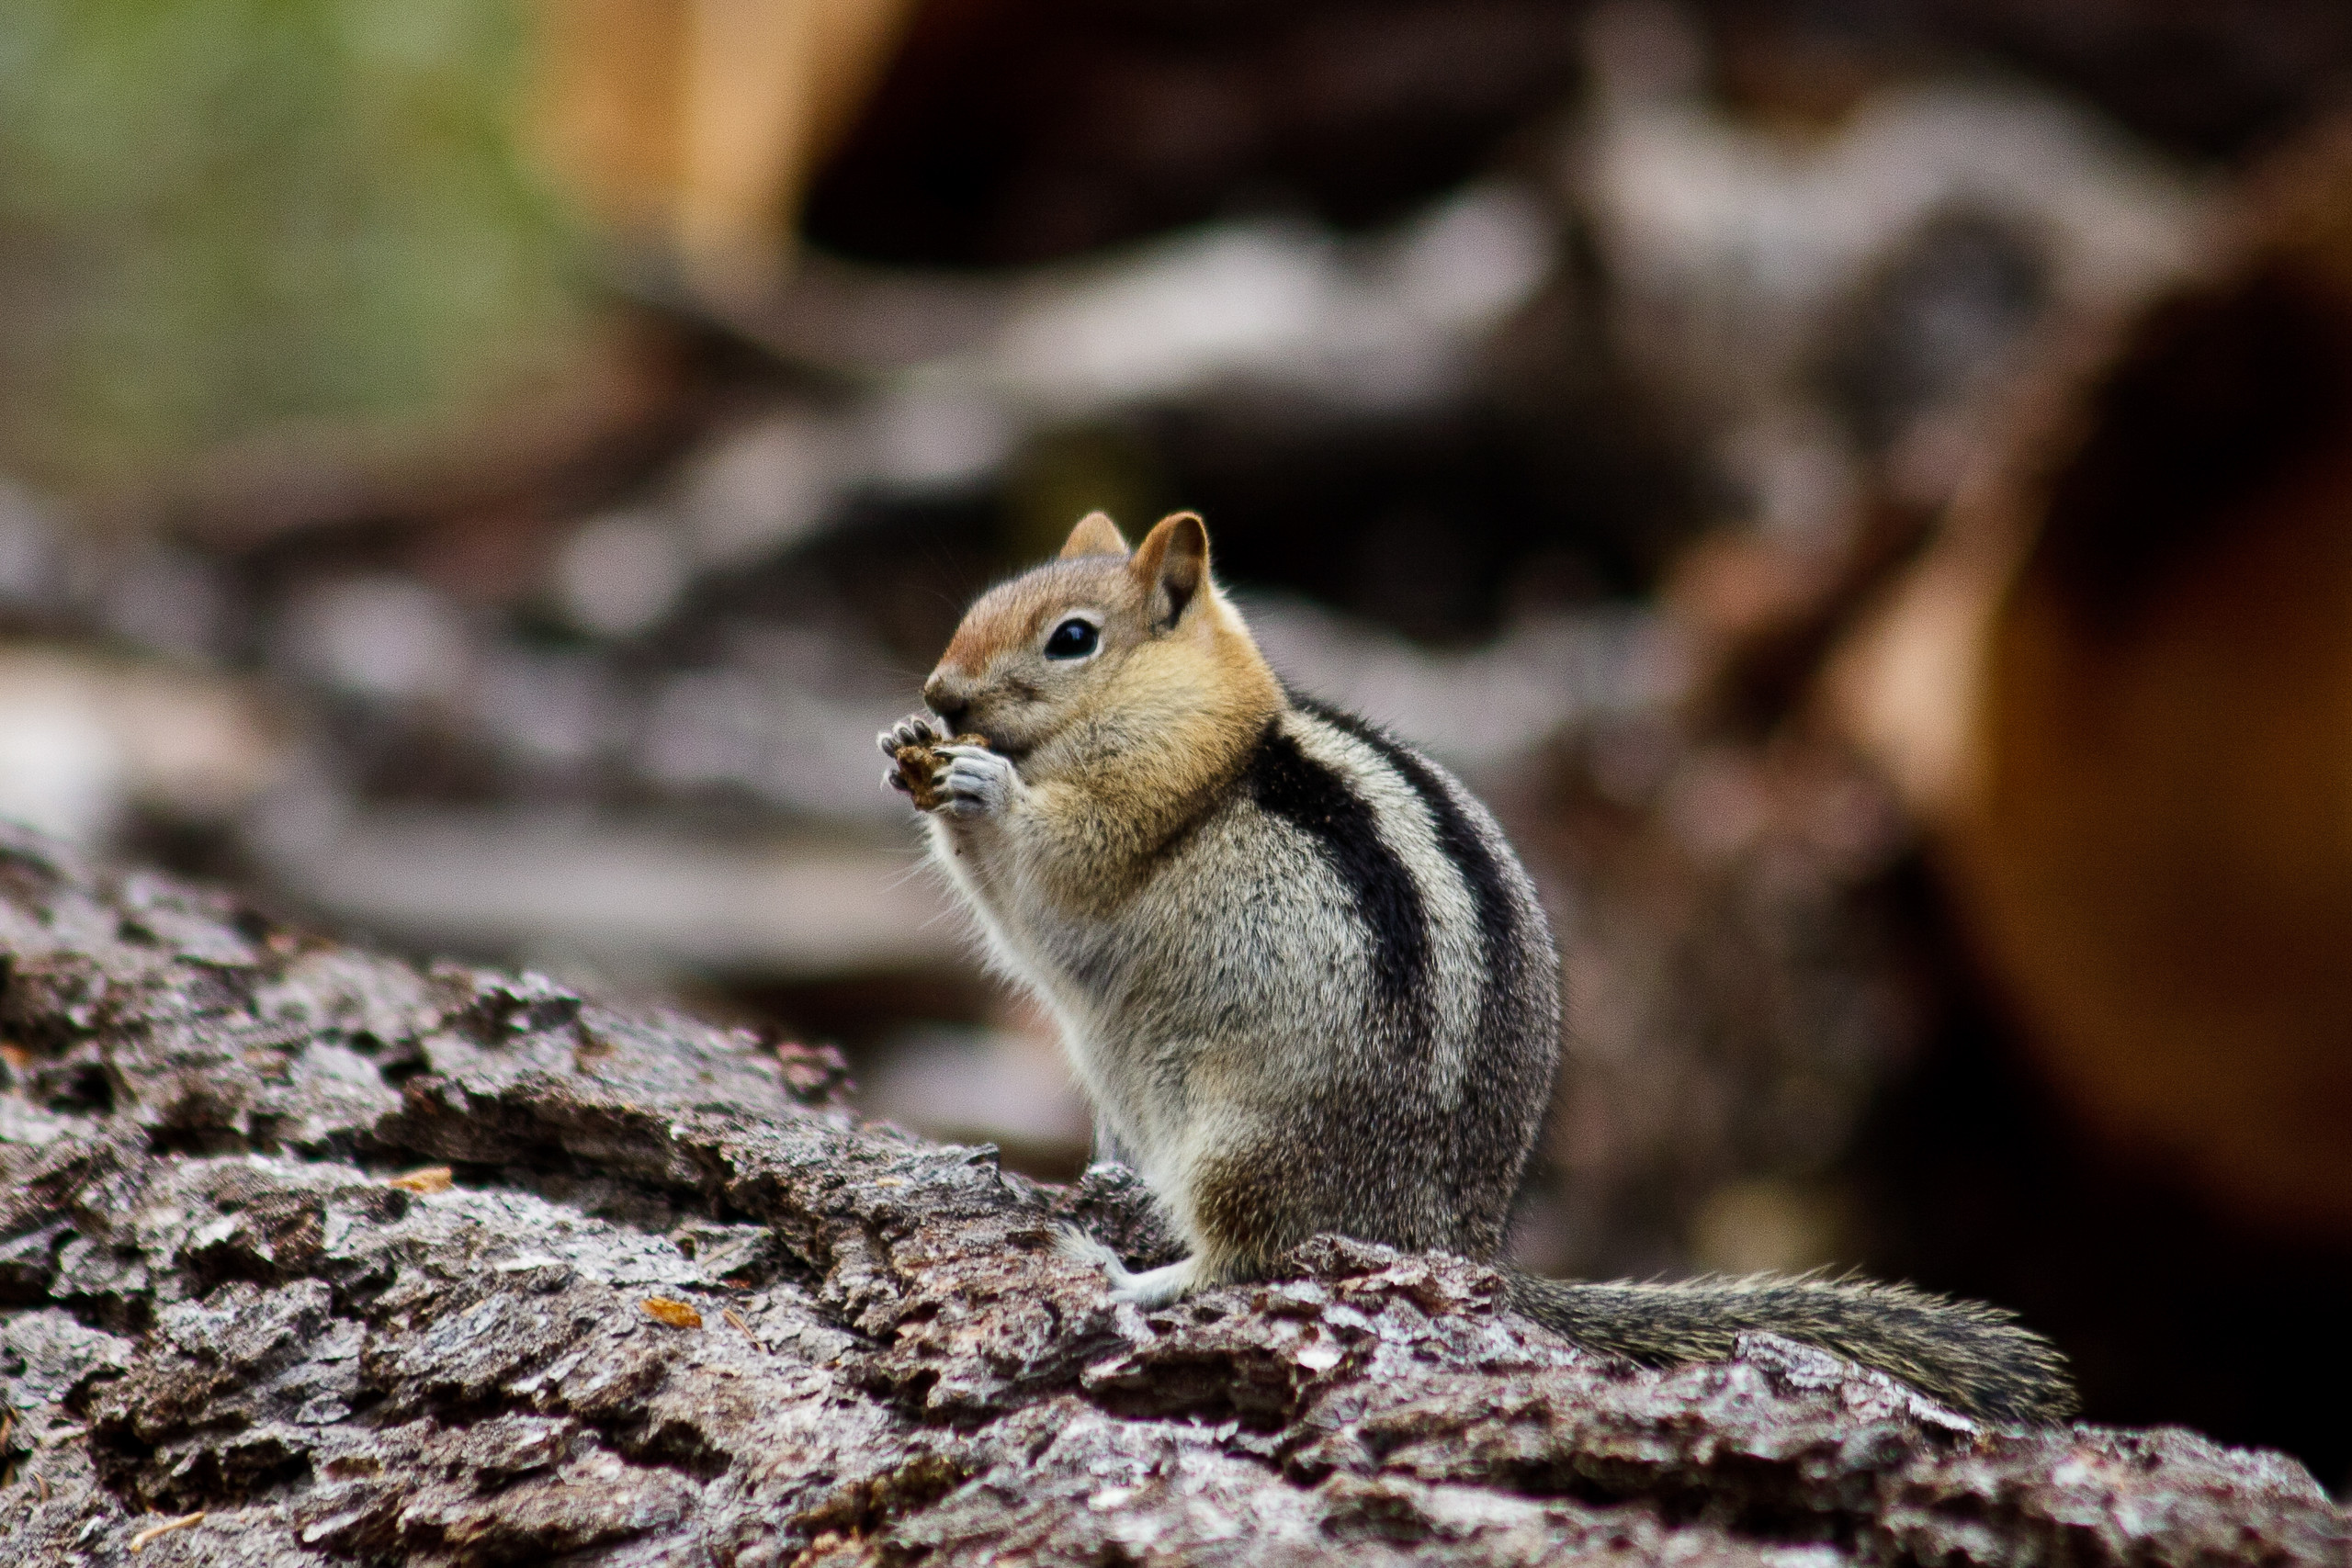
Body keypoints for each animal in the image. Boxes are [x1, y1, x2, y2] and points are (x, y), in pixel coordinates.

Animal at [880, 509, 2077, 1425]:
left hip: (1244, 1147)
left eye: (1072, 638)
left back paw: (1132, 1275)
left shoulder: (1135, 810)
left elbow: (1055, 872)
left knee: (1252, 1257)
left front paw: (982, 783)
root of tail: (1461, 1247)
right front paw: (909, 752)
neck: (1211, 723)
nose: (940, 694)